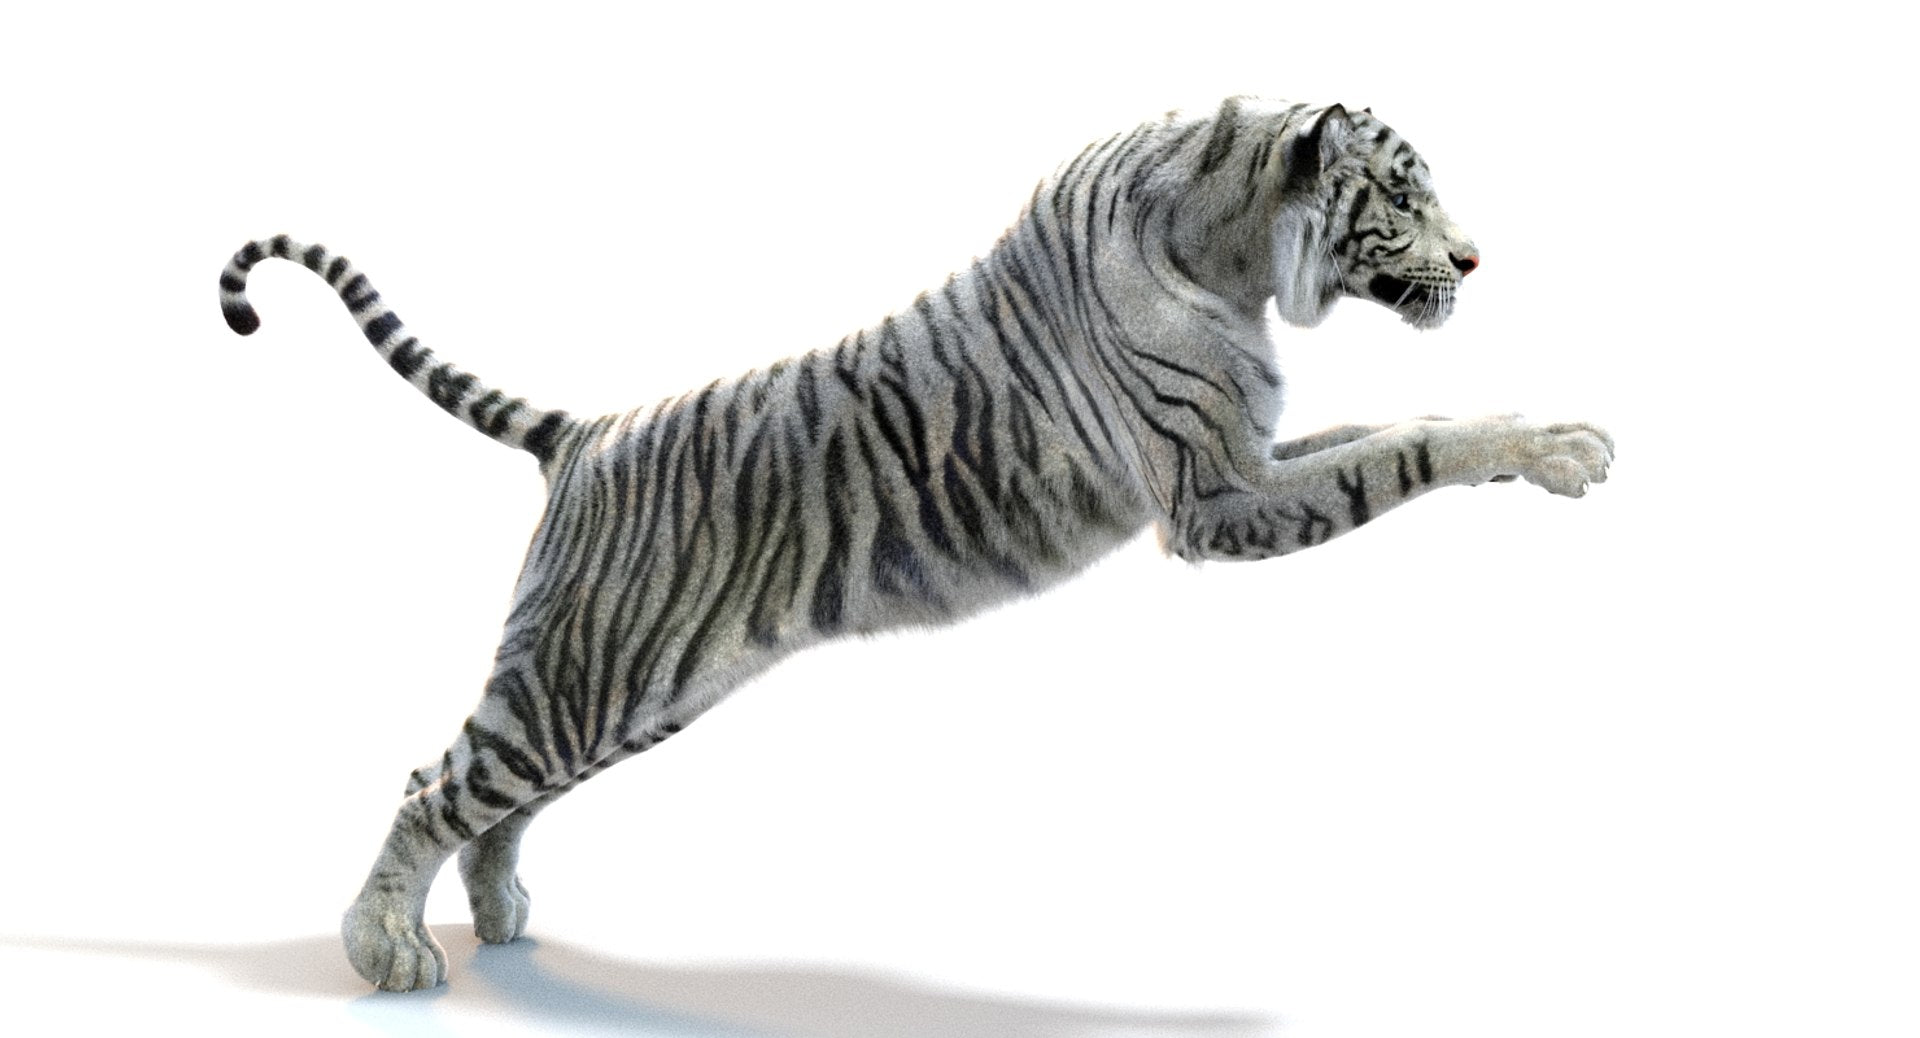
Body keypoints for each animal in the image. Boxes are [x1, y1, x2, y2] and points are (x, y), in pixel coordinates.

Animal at [218, 97, 1612, 991]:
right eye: (1407, 196)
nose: (1476, 257)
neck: (1235, 250)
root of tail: (587, 432)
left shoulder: (1250, 463)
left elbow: (1406, 423)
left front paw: (1547, 435)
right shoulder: (1217, 500)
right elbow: (1403, 451)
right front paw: (1563, 449)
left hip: (627, 690)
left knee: (495, 799)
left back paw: (499, 914)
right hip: (586, 675)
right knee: (432, 783)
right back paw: (387, 951)